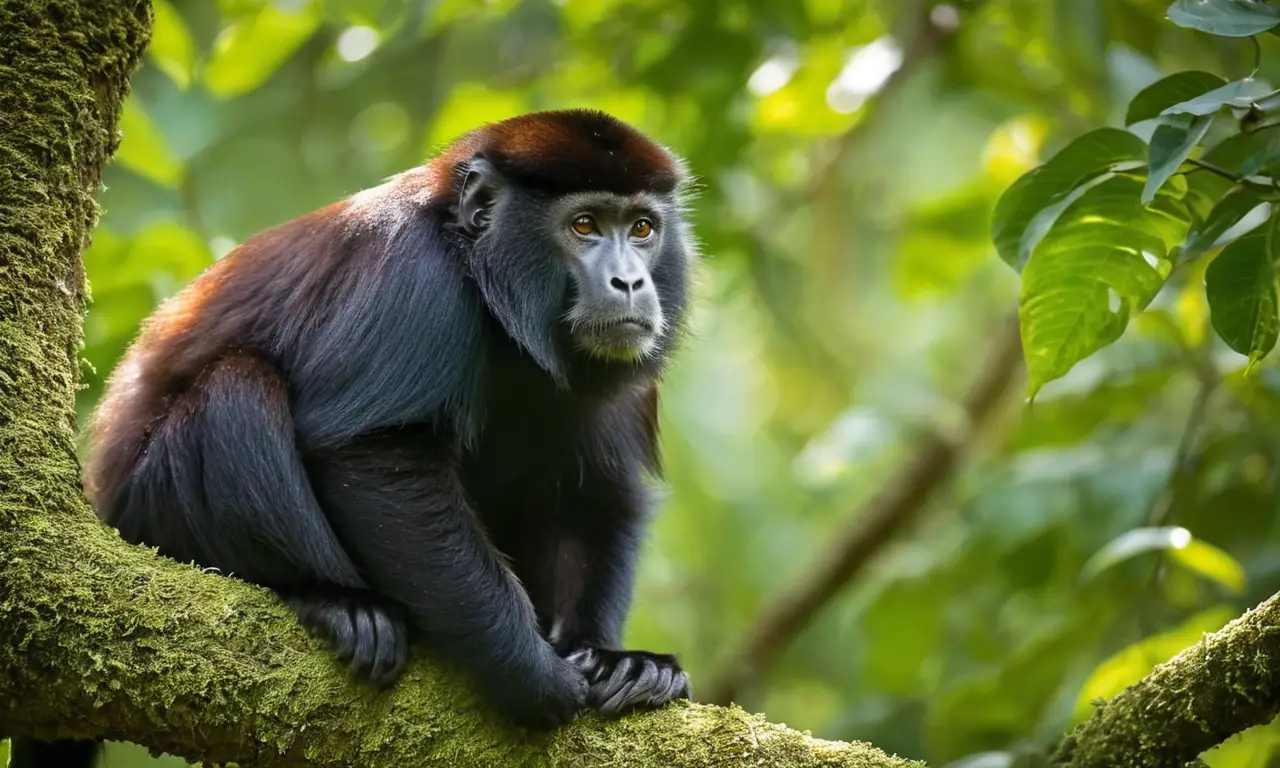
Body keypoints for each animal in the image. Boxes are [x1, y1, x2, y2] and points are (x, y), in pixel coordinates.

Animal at [10, 109, 695, 768]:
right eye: (583, 225)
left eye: (641, 229)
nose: (631, 282)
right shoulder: (415, 276)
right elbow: (375, 453)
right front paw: (528, 672)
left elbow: (596, 496)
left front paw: (616, 661)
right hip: (153, 503)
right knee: (237, 390)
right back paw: (329, 600)